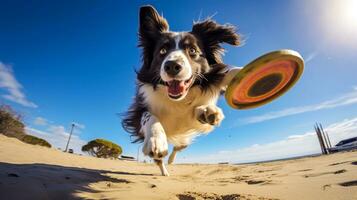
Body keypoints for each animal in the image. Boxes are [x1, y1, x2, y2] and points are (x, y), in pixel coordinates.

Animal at [121, 5, 241, 176]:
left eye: (192, 50)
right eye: (162, 51)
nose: (172, 66)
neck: (179, 99)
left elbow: (227, 73)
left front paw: (207, 110)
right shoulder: (137, 111)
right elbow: (148, 116)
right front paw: (156, 139)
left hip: (185, 138)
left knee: (180, 146)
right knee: (161, 158)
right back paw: (165, 170)